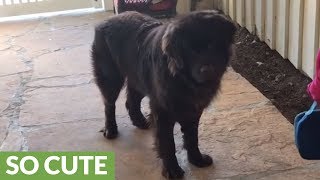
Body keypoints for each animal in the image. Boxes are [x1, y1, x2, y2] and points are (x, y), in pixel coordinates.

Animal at [91, 10, 236, 179]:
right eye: (190, 50)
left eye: (212, 44)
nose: (207, 70)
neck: (182, 79)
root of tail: (108, 19)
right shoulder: (163, 113)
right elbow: (168, 144)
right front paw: (172, 170)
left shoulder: (193, 111)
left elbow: (192, 137)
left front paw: (197, 160)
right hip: (110, 77)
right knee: (109, 104)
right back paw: (110, 130)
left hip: (139, 79)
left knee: (131, 100)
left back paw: (140, 122)